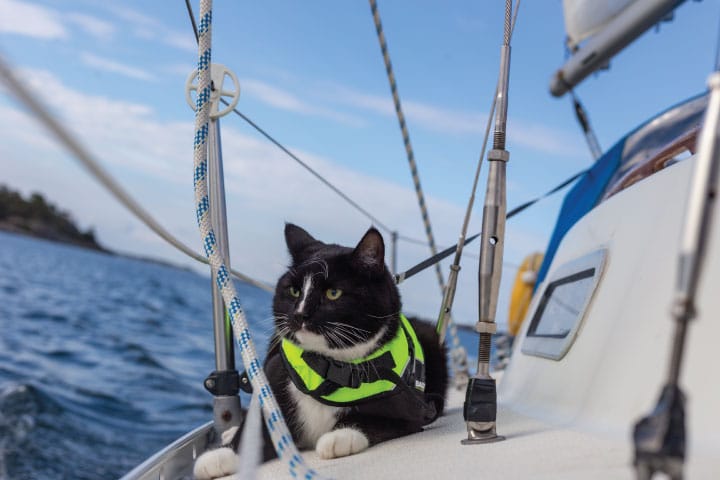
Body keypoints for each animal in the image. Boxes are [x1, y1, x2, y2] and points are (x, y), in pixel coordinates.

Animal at [194, 223, 448, 478]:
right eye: (294, 291)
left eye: (333, 293)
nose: (300, 314)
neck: (327, 368)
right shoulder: (274, 378)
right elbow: (257, 431)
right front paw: (220, 456)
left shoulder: (413, 410)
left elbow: (377, 421)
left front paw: (341, 437)